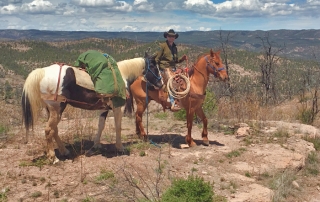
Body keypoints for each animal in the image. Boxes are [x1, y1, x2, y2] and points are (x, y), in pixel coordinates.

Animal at [21, 52, 162, 163]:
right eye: (154, 67)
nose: (160, 83)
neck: (122, 75)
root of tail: (42, 71)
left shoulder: (104, 108)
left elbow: (101, 125)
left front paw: (97, 144)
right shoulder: (118, 108)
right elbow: (118, 126)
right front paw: (120, 147)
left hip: (52, 110)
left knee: (54, 130)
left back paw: (64, 151)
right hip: (57, 109)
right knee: (49, 130)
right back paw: (53, 158)